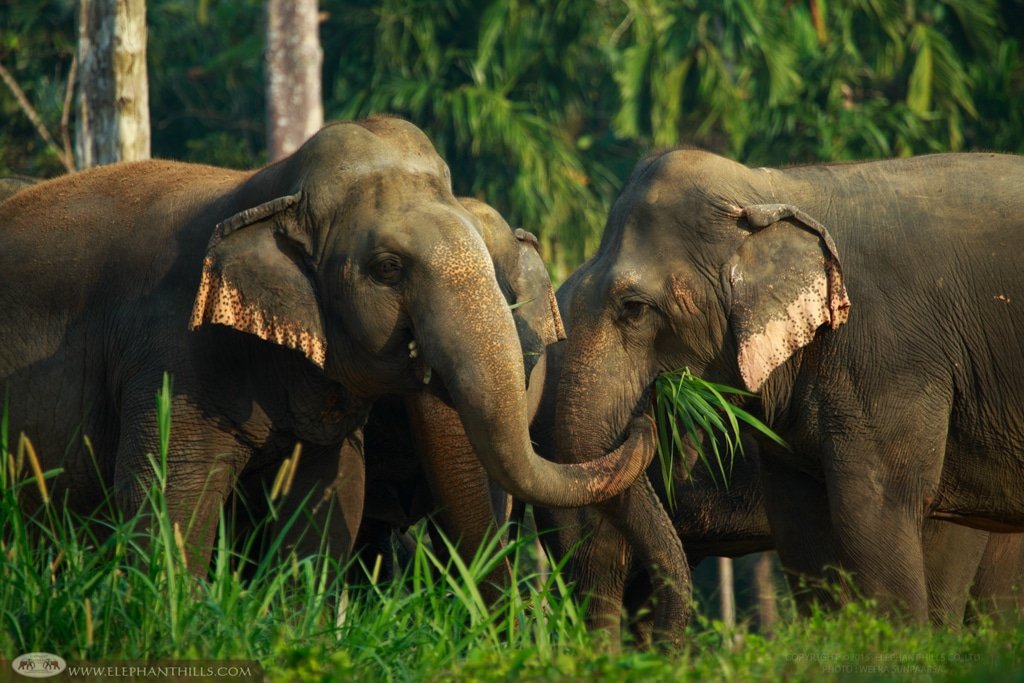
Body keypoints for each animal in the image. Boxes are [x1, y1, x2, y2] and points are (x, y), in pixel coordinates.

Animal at [0, 116, 656, 573]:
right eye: (387, 269)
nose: (645, 417)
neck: (267, 189)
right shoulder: (171, 352)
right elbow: (168, 492)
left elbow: (330, 493)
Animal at [551, 148, 1024, 627]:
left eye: (633, 309)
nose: (649, 412)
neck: (771, 190)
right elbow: (803, 523)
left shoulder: (895, 354)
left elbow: (880, 509)